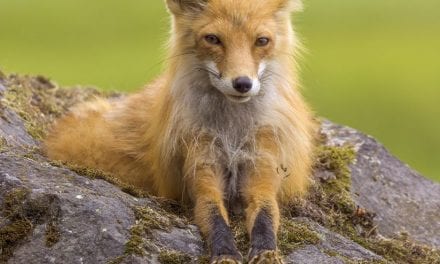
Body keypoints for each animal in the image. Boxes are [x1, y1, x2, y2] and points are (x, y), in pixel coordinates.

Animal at [43, 0, 316, 262]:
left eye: (262, 41)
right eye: (213, 39)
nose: (242, 84)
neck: (232, 133)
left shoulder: (263, 168)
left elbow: (265, 217)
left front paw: (267, 253)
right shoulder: (200, 169)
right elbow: (214, 215)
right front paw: (225, 253)